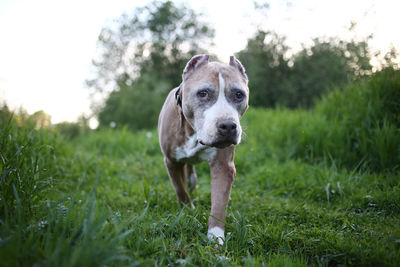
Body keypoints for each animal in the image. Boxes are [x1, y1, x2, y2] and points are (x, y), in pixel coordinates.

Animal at [158, 55, 248, 247]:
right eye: (203, 93)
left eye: (239, 94)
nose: (228, 126)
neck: (195, 133)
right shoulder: (171, 161)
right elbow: (180, 189)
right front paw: (188, 210)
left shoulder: (223, 166)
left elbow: (219, 203)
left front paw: (216, 236)